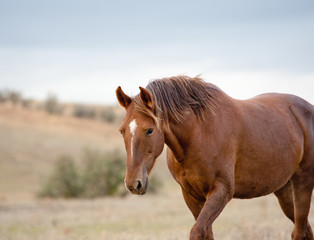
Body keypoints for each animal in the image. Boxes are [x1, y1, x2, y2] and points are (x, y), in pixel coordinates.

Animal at [116, 75, 314, 240]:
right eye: (122, 130)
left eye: (149, 130)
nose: (133, 183)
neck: (199, 133)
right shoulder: (191, 195)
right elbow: (206, 233)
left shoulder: (221, 191)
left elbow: (197, 232)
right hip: (284, 190)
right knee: (305, 230)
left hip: (303, 182)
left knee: (299, 231)